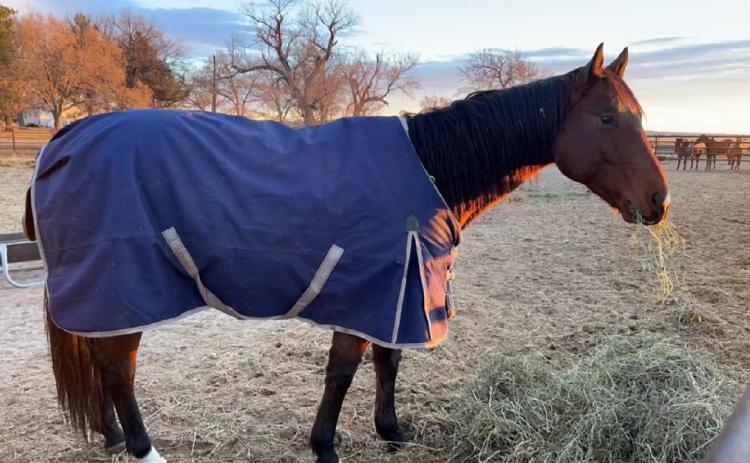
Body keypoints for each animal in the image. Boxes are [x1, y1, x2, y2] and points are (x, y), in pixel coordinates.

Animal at [23, 45, 669, 463]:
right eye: (607, 117)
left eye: (640, 117)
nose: (659, 201)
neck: (429, 167)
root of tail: (65, 138)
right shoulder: (370, 292)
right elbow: (344, 372)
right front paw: (326, 446)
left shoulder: (401, 290)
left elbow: (389, 362)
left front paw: (391, 430)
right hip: (122, 285)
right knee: (118, 367)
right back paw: (142, 448)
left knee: (98, 359)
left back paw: (110, 436)